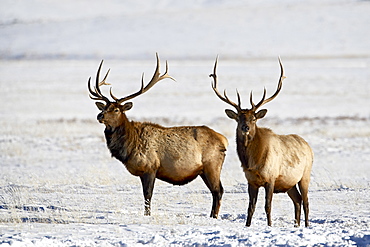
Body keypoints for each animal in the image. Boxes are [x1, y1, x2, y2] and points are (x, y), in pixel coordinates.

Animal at [89, 53, 228, 218]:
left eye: (116, 109)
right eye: (103, 107)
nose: (100, 115)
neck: (128, 147)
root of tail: (224, 140)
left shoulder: (150, 167)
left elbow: (148, 195)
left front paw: (147, 215)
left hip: (212, 165)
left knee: (218, 191)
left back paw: (214, 216)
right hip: (204, 171)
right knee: (215, 191)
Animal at [208, 57, 312, 227]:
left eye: (254, 118)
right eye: (239, 118)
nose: (245, 127)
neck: (254, 162)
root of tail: (308, 146)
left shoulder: (271, 178)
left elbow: (267, 205)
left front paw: (269, 225)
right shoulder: (251, 181)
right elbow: (251, 207)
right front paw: (247, 225)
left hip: (305, 175)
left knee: (306, 201)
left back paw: (306, 225)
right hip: (289, 182)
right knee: (297, 200)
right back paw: (296, 225)